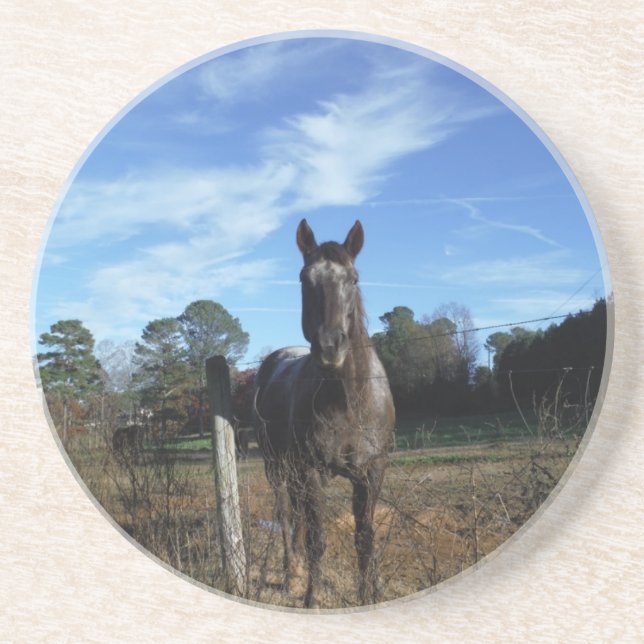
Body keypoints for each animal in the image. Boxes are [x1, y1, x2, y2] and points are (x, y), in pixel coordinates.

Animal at [254, 219, 395, 608]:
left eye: (354, 278)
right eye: (305, 278)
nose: (331, 346)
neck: (349, 401)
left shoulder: (372, 470)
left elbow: (365, 536)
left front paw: (370, 592)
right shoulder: (313, 471)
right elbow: (318, 539)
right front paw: (312, 598)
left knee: (299, 514)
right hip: (278, 468)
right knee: (287, 514)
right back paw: (291, 573)